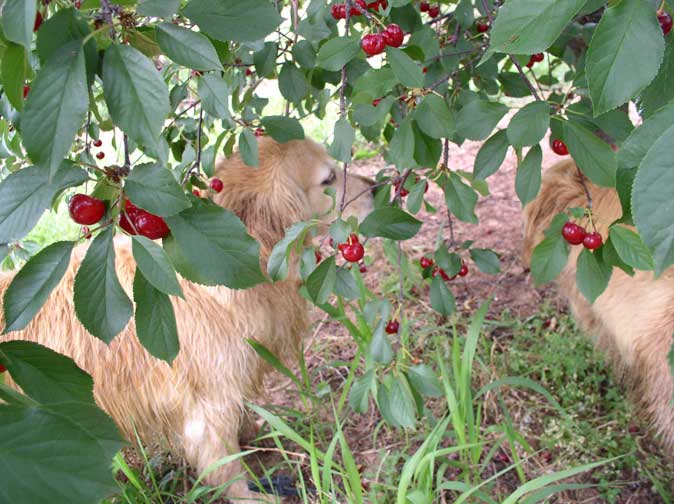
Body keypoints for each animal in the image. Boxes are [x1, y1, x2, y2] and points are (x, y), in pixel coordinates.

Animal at [0, 137, 372, 500]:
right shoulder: (208, 406)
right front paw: (250, 494)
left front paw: (253, 433)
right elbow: (225, 466)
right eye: (328, 179)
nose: (376, 187)